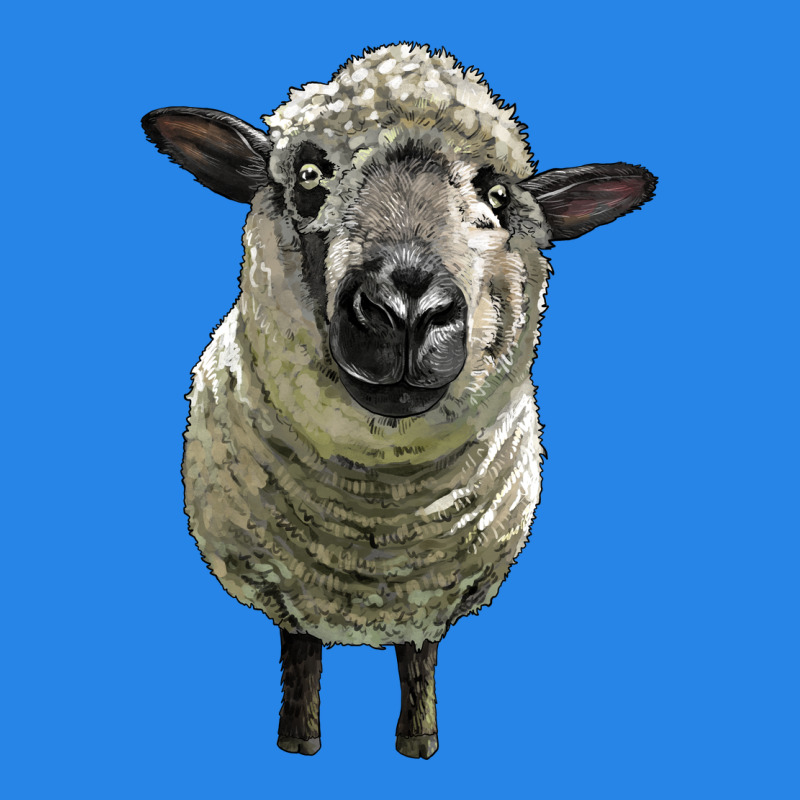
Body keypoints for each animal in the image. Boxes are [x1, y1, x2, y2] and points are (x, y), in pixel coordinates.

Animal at [142, 43, 656, 759]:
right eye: (308, 174)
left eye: (497, 196)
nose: (407, 310)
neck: (375, 525)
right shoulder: (288, 586)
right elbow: (300, 656)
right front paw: (299, 741)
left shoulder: (430, 596)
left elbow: (419, 661)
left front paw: (419, 743)